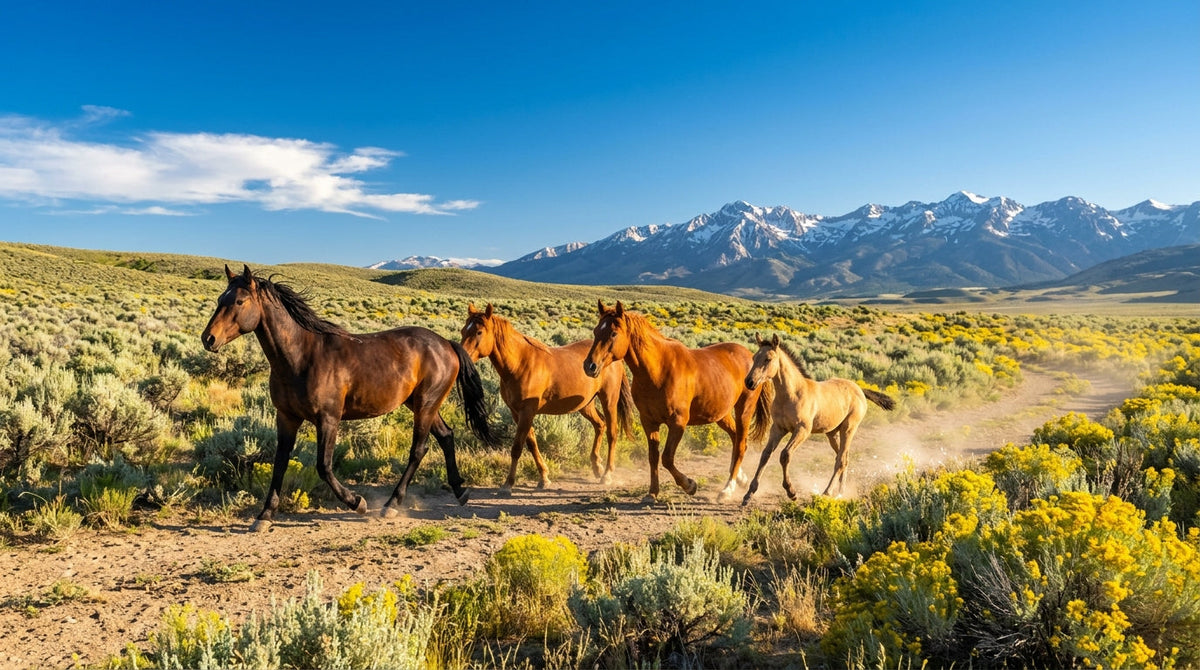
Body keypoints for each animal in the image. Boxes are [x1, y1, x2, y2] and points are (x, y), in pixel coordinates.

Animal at [201, 265, 498, 531]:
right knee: (446, 435)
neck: (301, 357)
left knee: (419, 449)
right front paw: (265, 515)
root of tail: (447, 344)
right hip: (420, 403)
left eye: (239, 301)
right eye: (220, 300)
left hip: (425, 404)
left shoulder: (328, 419)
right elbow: (280, 462)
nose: (208, 338)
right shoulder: (286, 417)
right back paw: (459, 491)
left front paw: (357, 502)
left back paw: (391, 504)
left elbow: (324, 466)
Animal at [460, 303, 634, 491]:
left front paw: (508, 484)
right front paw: (544, 477)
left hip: (608, 400)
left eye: (479, 332)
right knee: (600, 425)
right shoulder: (517, 413)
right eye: (463, 330)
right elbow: (531, 443)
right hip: (585, 405)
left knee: (612, 432)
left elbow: (517, 447)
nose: (462, 359)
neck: (520, 364)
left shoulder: (527, 411)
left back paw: (607, 474)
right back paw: (596, 467)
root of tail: (615, 358)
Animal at [582, 300, 771, 503]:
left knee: (741, 444)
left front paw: (689, 485)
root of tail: (750, 356)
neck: (658, 371)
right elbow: (653, 457)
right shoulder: (649, 421)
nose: (589, 366)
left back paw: (727, 489)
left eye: (613, 333)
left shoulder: (678, 422)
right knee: (736, 438)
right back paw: (740, 479)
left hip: (744, 409)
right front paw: (652, 493)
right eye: (596, 331)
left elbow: (667, 458)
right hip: (721, 414)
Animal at [741, 333, 895, 504]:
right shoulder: (778, 429)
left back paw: (827, 492)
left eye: (768, 359)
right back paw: (841, 492)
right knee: (843, 458)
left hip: (848, 429)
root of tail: (859, 389)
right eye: (754, 357)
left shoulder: (802, 430)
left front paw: (791, 491)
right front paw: (749, 494)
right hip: (832, 433)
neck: (791, 394)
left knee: (841, 460)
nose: (749, 382)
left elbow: (785, 455)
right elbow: (765, 455)